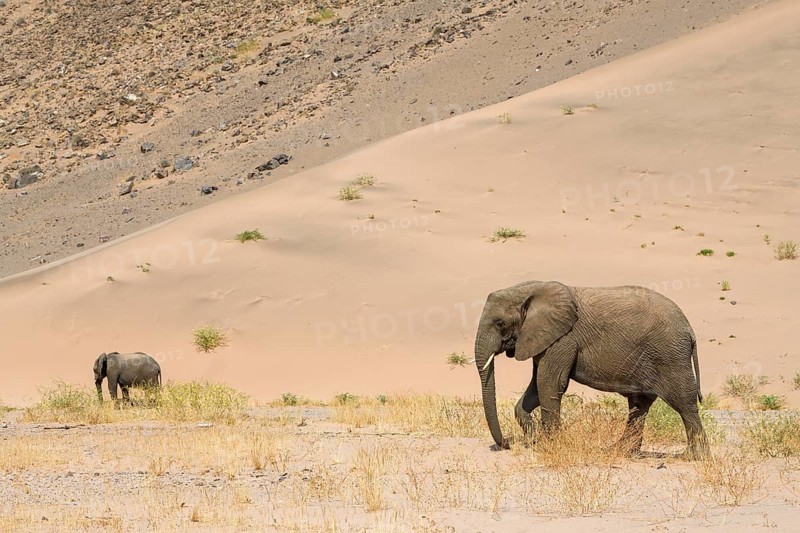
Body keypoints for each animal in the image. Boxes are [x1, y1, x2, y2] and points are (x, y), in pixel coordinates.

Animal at [474, 280, 710, 460]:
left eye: (499, 323)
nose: (506, 443)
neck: (532, 289)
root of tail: (690, 330)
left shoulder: (563, 339)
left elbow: (550, 383)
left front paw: (551, 446)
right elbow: (536, 387)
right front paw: (534, 437)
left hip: (670, 357)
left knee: (684, 404)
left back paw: (694, 457)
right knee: (639, 405)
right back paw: (621, 452)